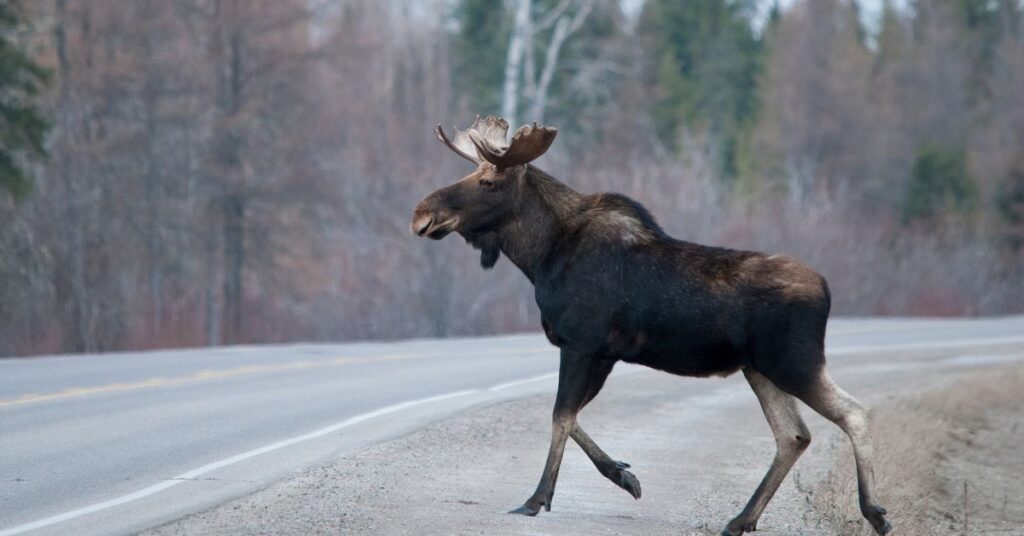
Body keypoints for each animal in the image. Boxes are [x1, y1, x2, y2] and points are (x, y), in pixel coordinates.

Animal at [411, 117, 892, 536]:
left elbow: (560, 415)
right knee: (793, 435)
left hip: (794, 361)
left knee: (853, 412)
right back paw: (740, 520)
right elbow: (571, 415)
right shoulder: (603, 352)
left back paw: (874, 512)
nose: (421, 213)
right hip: (759, 368)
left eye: (487, 183)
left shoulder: (581, 342)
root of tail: (826, 289)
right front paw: (624, 475)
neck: (540, 255)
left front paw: (537, 498)